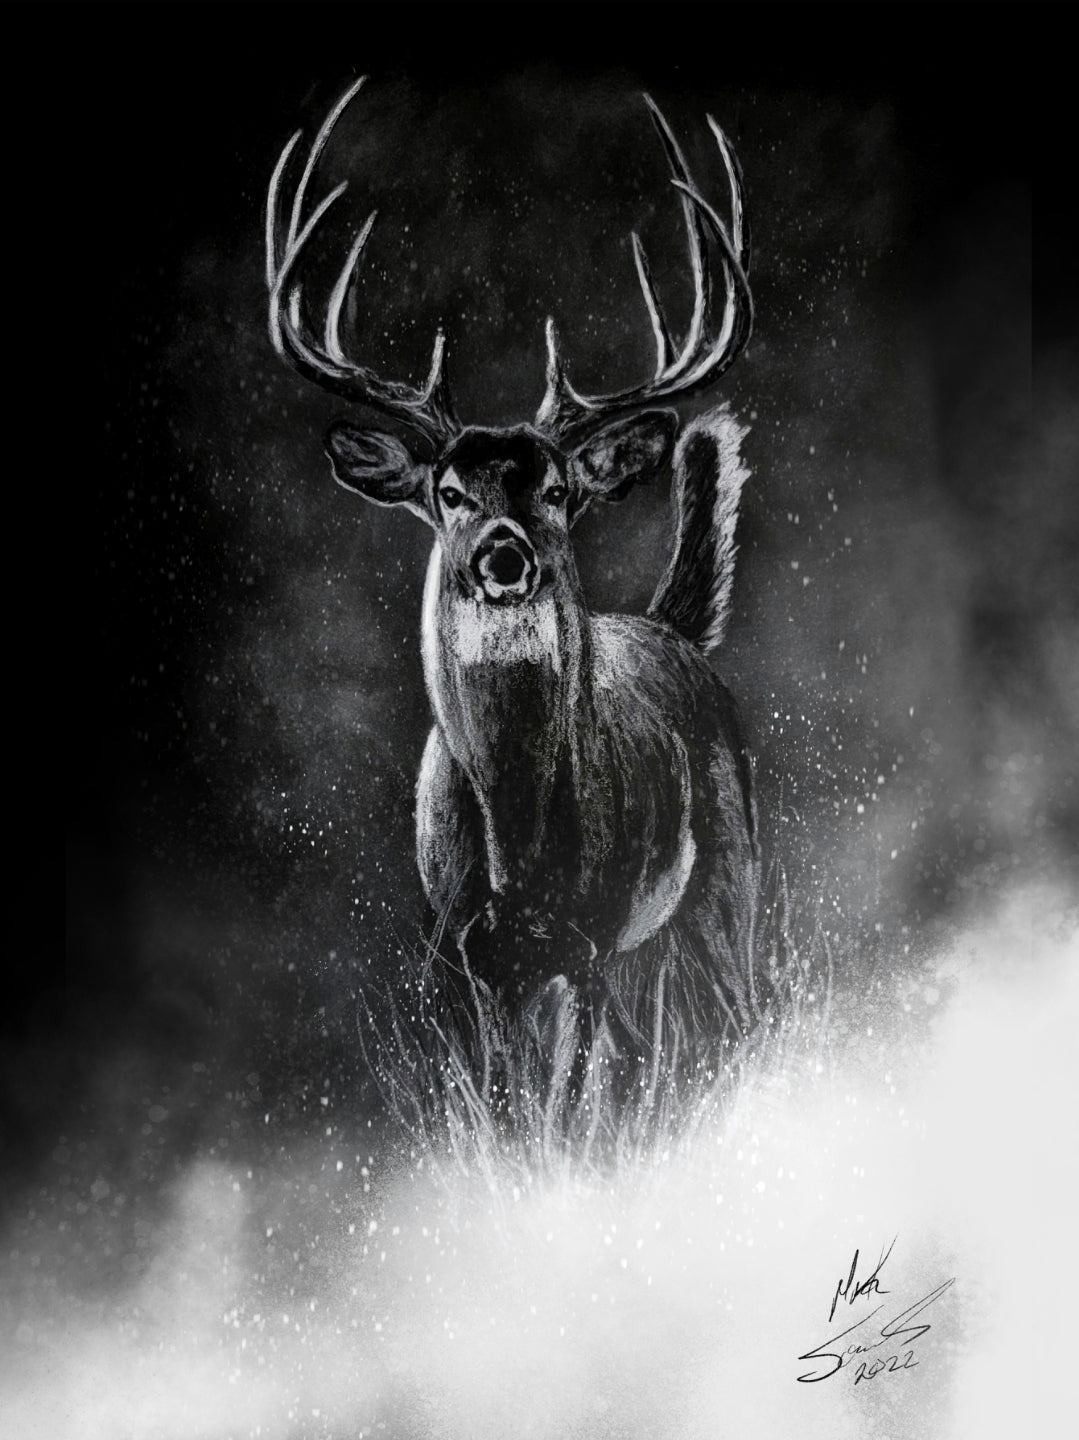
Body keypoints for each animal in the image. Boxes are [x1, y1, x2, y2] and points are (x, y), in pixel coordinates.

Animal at [265, 78, 761, 1061]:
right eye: (448, 491)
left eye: (560, 490)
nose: (504, 553)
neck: (516, 860)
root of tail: (668, 627)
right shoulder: (463, 957)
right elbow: (503, 1096)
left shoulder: (589, 943)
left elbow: (570, 1091)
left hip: (728, 873)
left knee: (737, 1017)